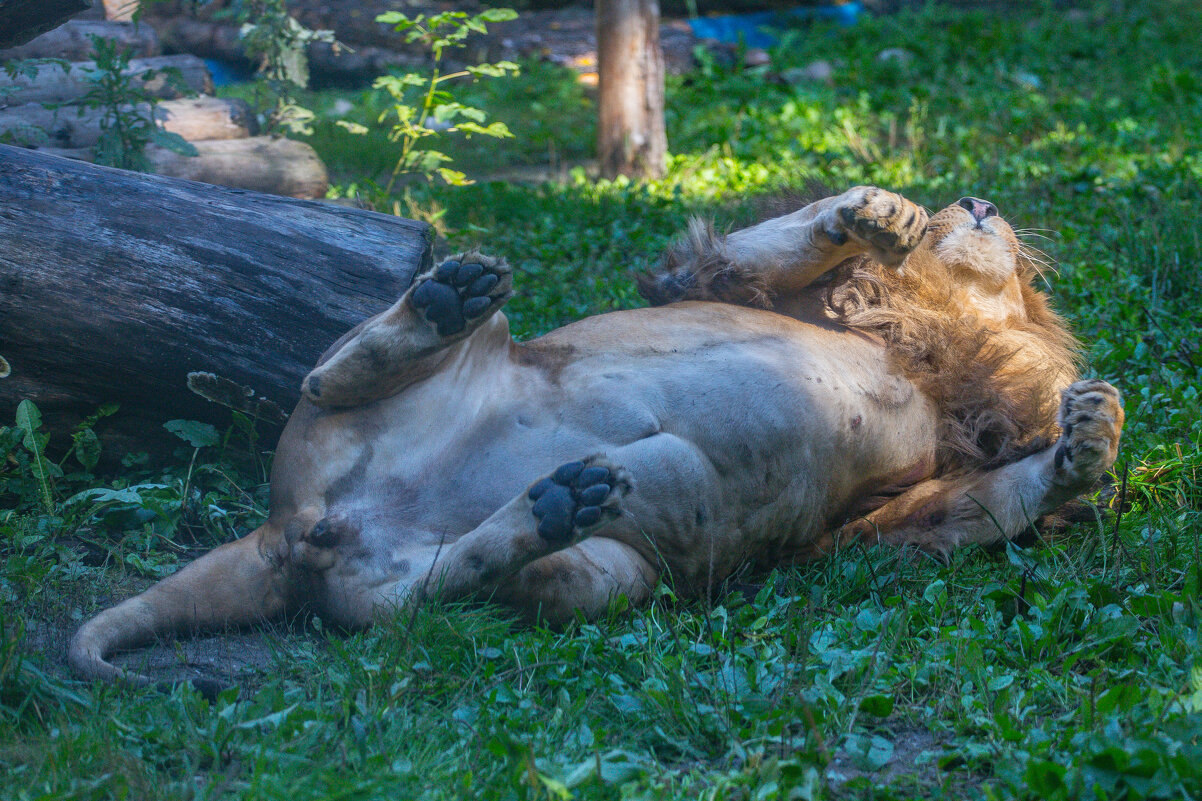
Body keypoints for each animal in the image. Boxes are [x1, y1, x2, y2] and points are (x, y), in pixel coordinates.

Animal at [65, 184, 1120, 683]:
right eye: (957, 209)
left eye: (1025, 272)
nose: (979, 202)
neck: (938, 325)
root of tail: (297, 530)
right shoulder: (721, 283)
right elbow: (770, 241)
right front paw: (878, 211)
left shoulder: (890, 517)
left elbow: (981, 505)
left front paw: (1088, 442)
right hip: (466, 363)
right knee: (324, 377)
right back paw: (443, 303)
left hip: (608, 577)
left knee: (423, 600)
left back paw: (551, 504)